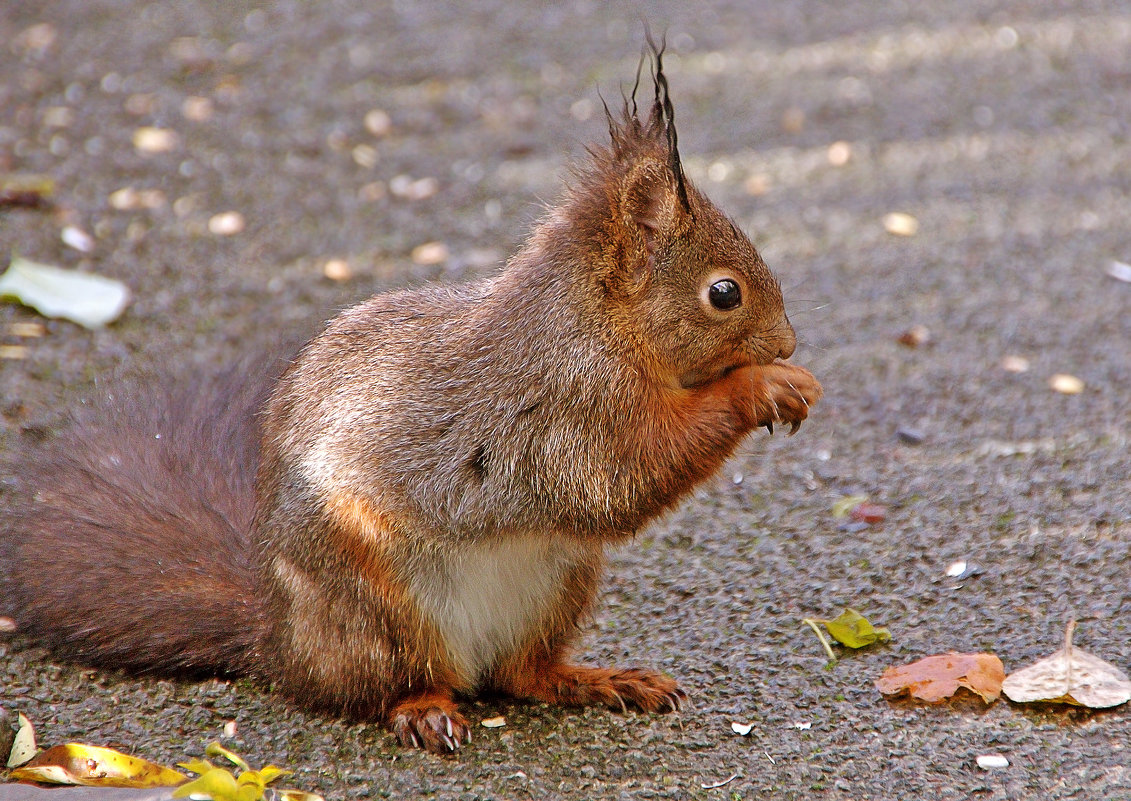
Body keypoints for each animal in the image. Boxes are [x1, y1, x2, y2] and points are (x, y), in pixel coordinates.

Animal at [0, 46, 818, 755]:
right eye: (723, 293)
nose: (786, 341)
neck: (598, 323)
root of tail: (281, 641)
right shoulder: (565, 409)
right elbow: (622, 476)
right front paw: (765, 387)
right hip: (372, 597)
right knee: (390, 685)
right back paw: (423, 709)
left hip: (561, 581)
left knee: (521, 675)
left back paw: (599, 680)